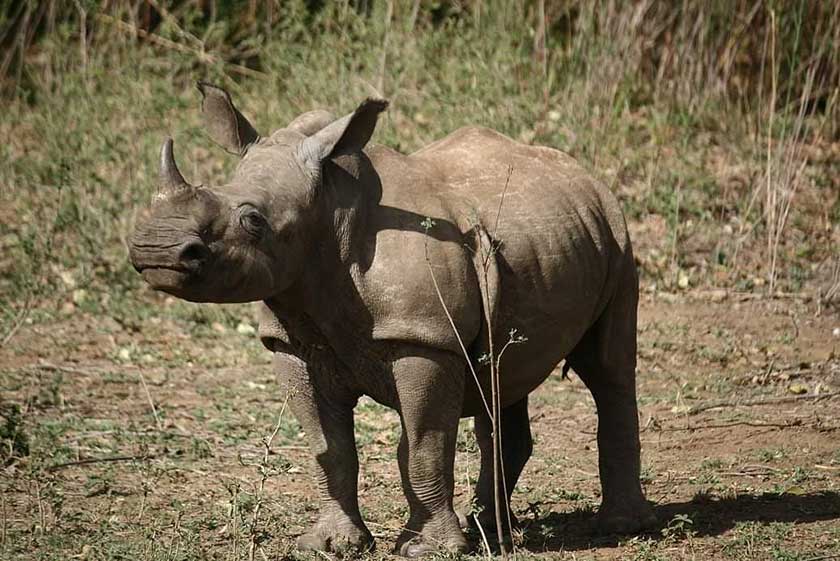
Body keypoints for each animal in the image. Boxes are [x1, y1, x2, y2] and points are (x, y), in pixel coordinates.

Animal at [130, 83, 656, 556]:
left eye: (253, 221)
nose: (156, 249)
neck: (331, 214)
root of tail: (582, 173)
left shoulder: (425, 337)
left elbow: (423, 446)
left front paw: (430, 549)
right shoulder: (291, 343)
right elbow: (329, 448)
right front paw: (329, 544)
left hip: (616, 232)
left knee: (606, 370)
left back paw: (617, 527)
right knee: (504, 376)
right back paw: (492, 532)